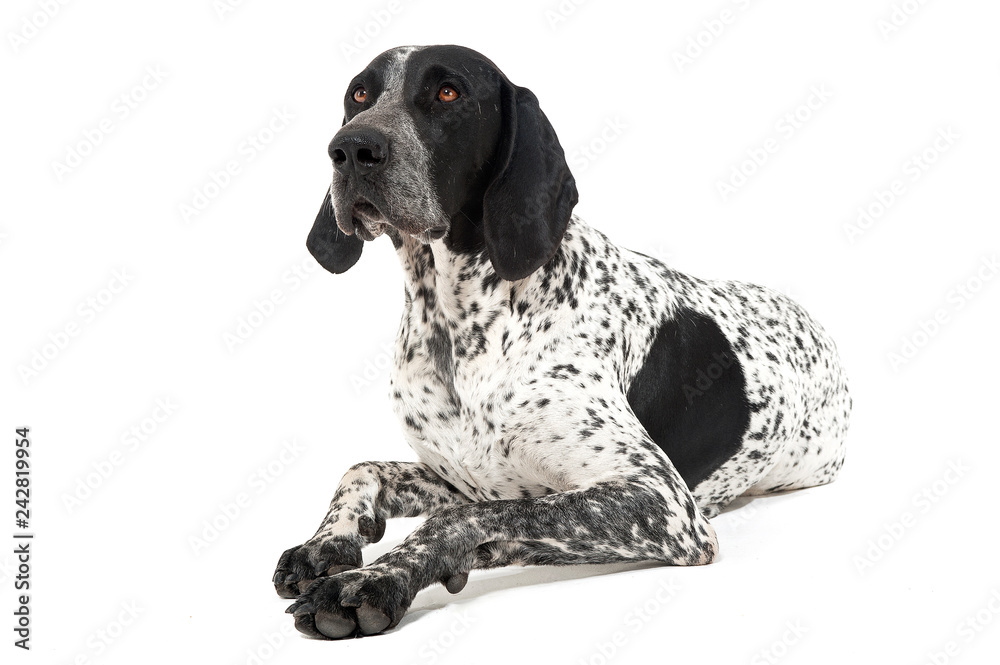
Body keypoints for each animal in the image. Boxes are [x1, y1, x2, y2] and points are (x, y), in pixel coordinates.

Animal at [274, 45, 852, 640]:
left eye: (448, 92)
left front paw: (373, 580)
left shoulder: (662, 501)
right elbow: (362, 468)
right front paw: (328, 543)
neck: (456, 328)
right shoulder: (469, 478)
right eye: (360, 94)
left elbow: (454, 518)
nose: (351, 149)